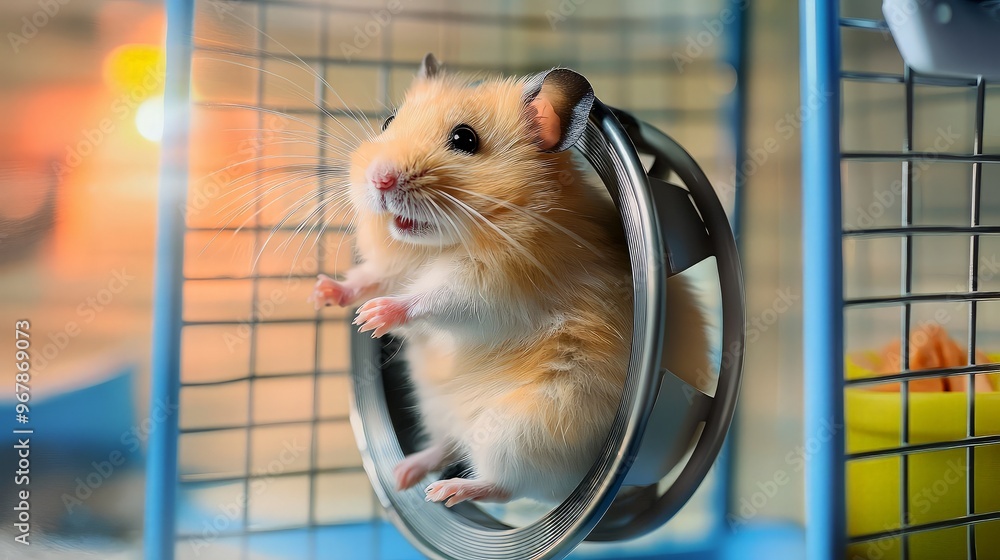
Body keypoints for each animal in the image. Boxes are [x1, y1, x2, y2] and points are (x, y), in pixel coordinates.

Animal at [310, 54, 710, 506]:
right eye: (388, 122)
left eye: (465, 139)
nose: (379, 179)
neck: (438, 247)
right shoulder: (394, 268)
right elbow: (370, 279)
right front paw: (325, 294)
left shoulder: (490, 288)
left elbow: (436, 297)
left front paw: (373, 317)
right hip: (435, 405)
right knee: (447, 445)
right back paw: (404, 474)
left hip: (521, 430)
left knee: (503, 486)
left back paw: (444, 492)